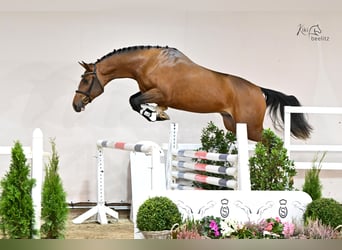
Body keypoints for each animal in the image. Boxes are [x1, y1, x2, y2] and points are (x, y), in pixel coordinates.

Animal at [73, 45, 312, 142]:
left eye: (85, 79)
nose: (76, 105)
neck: (148, 63)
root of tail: (258, 90)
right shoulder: (152, 93)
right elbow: (136, 100)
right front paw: (159, 114)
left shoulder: (159, 93)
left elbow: (134, 101)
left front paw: (155, 116)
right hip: (233, 125)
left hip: (251, 127)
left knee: (272, 144)